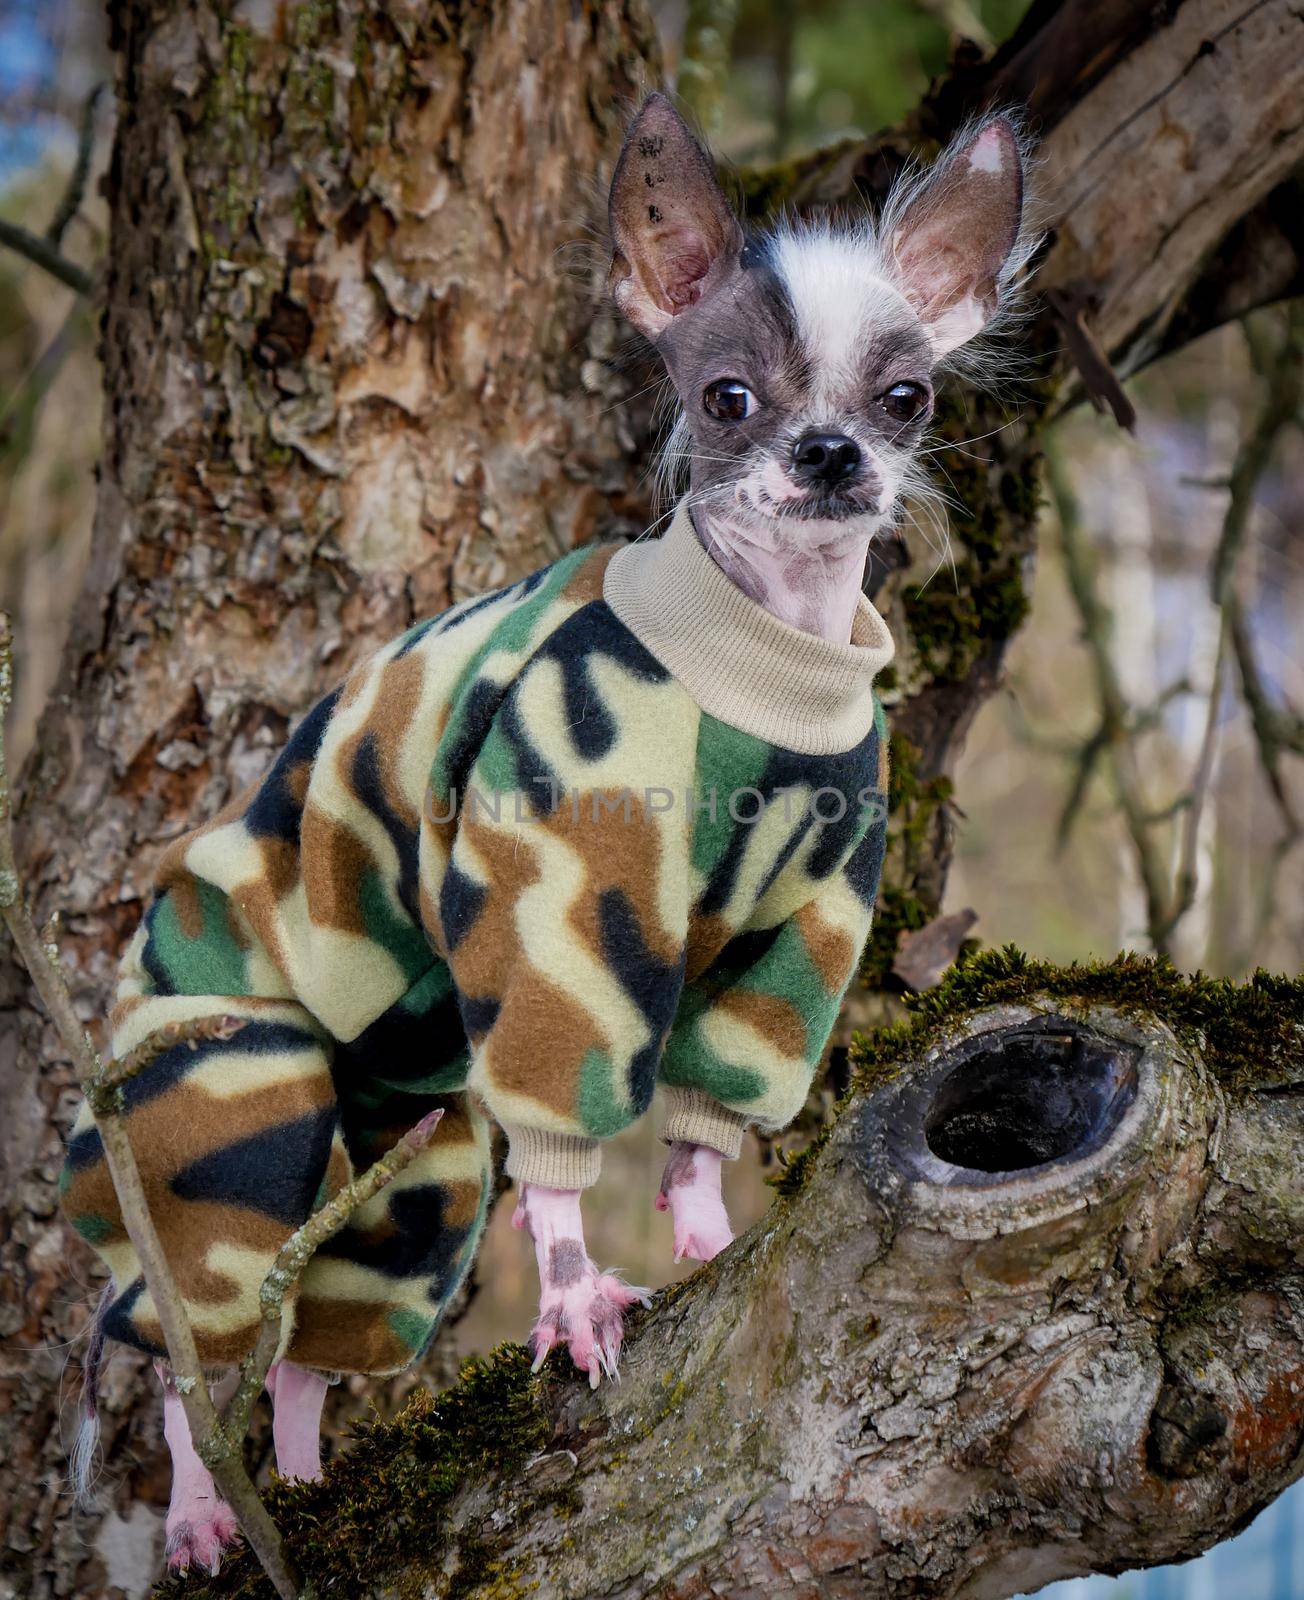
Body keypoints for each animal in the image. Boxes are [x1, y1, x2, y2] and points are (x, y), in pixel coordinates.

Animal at [61, 90, 1036, 1574]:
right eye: (726, 397)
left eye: (905, 398)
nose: (829, 453)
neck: (765, 661)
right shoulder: (560, 927)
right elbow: (565, 1153)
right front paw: (577, 1300)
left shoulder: (796, 939)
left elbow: (706, 1108)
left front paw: (703, 1226)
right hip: (223, 1108)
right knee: (178, 1350)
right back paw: (197, 1510)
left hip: (413, 1169)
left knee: (314, 1351)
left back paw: (307, 1496)